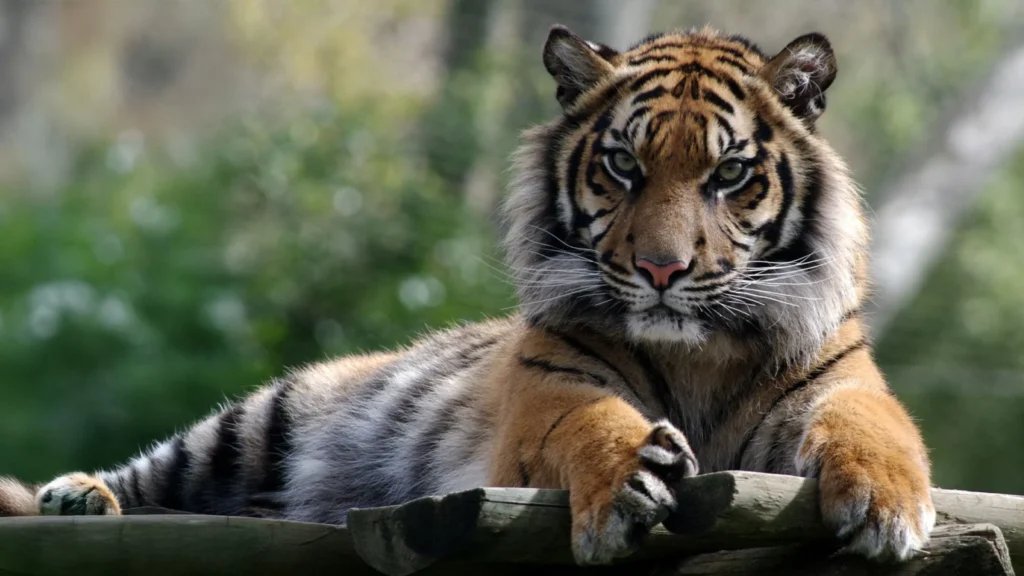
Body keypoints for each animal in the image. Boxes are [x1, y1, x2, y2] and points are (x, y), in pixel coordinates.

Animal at [0, 25, 935, 565]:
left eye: (729, 174)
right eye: (623, 165)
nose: (663, 270)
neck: (695, 354)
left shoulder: (839, 382)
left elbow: (878, 428)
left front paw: (890, 507)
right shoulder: (549, 399)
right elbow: (590, 426)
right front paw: (629, 479)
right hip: (261, 421)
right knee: (150, 472)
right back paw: (77, 495)